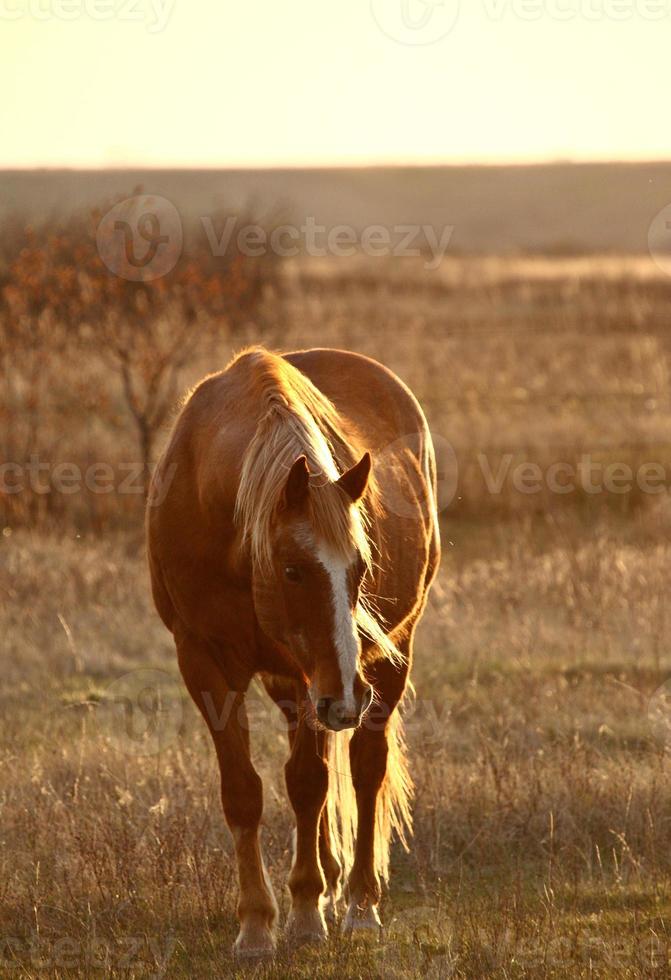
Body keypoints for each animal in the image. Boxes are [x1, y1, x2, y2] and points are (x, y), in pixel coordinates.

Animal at [147, 344, 440, 956]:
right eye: (292, 570)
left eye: (360, 568)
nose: (349, 698)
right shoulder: (202, 661)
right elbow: (243, 791)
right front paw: (257, 924)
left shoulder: (316, 677)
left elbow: (308, 784)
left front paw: (303, 914)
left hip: (381, 663)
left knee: (363, 769)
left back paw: (357, 904)